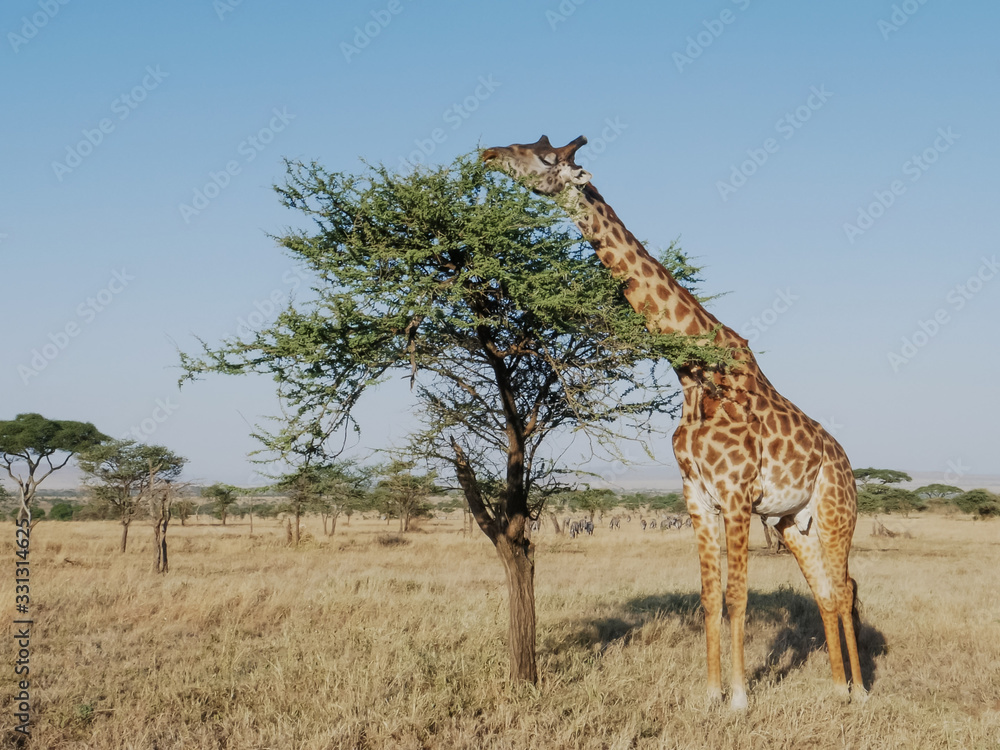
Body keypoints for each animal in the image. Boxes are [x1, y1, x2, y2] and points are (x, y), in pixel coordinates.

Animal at [482, 135, 866, 709]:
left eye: (545, 158)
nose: (487, 153)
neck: (690, 373)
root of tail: (846, 463)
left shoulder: (736, 496)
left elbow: (736, 596)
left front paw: (740, 699)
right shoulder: (697, 497)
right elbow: (708, 597)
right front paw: (709, 695)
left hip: (836, 510)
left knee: (845, 587)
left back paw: (861, 690)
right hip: (793, 520)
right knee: (825, 590)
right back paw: (837, 686)